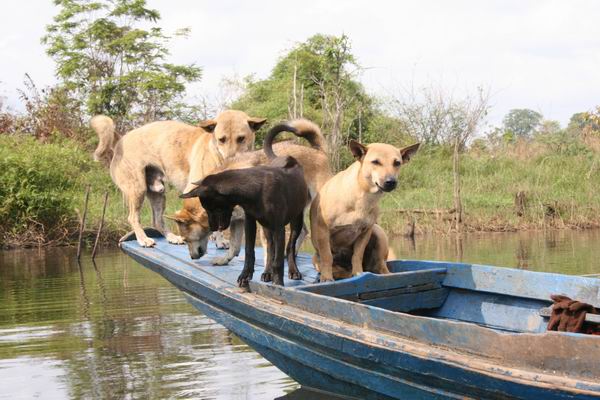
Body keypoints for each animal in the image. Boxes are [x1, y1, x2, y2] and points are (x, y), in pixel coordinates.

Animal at [169, 118, 330, 262]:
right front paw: (224, 260)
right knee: (303, 231)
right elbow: (235, 246)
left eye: (186, 239)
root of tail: (318, 151)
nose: (192, 257)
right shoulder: (238, 220)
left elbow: (267, 248)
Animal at [182, 123, 310, 286]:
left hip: (296, 220)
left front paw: (278, 283)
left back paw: (293, 271)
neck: (256, 190)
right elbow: (250, 251)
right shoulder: (250, 223)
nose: (212, 228)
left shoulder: (279, 228)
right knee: (270, 248)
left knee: (290, 246)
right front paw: (245, 275)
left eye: (212, 208)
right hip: (266, 227)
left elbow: (279, 259)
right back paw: (267, 272)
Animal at [308, 140, 420, 282]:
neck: (362, 196)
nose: (391, 182)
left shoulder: (365, 231)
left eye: (397, 163)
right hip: (316, 258)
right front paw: (327, 277)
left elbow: (357, 255)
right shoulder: (323, 230)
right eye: (375, 162)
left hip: (379, 234)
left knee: (381, 266)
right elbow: (327, 256)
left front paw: (358, 273)